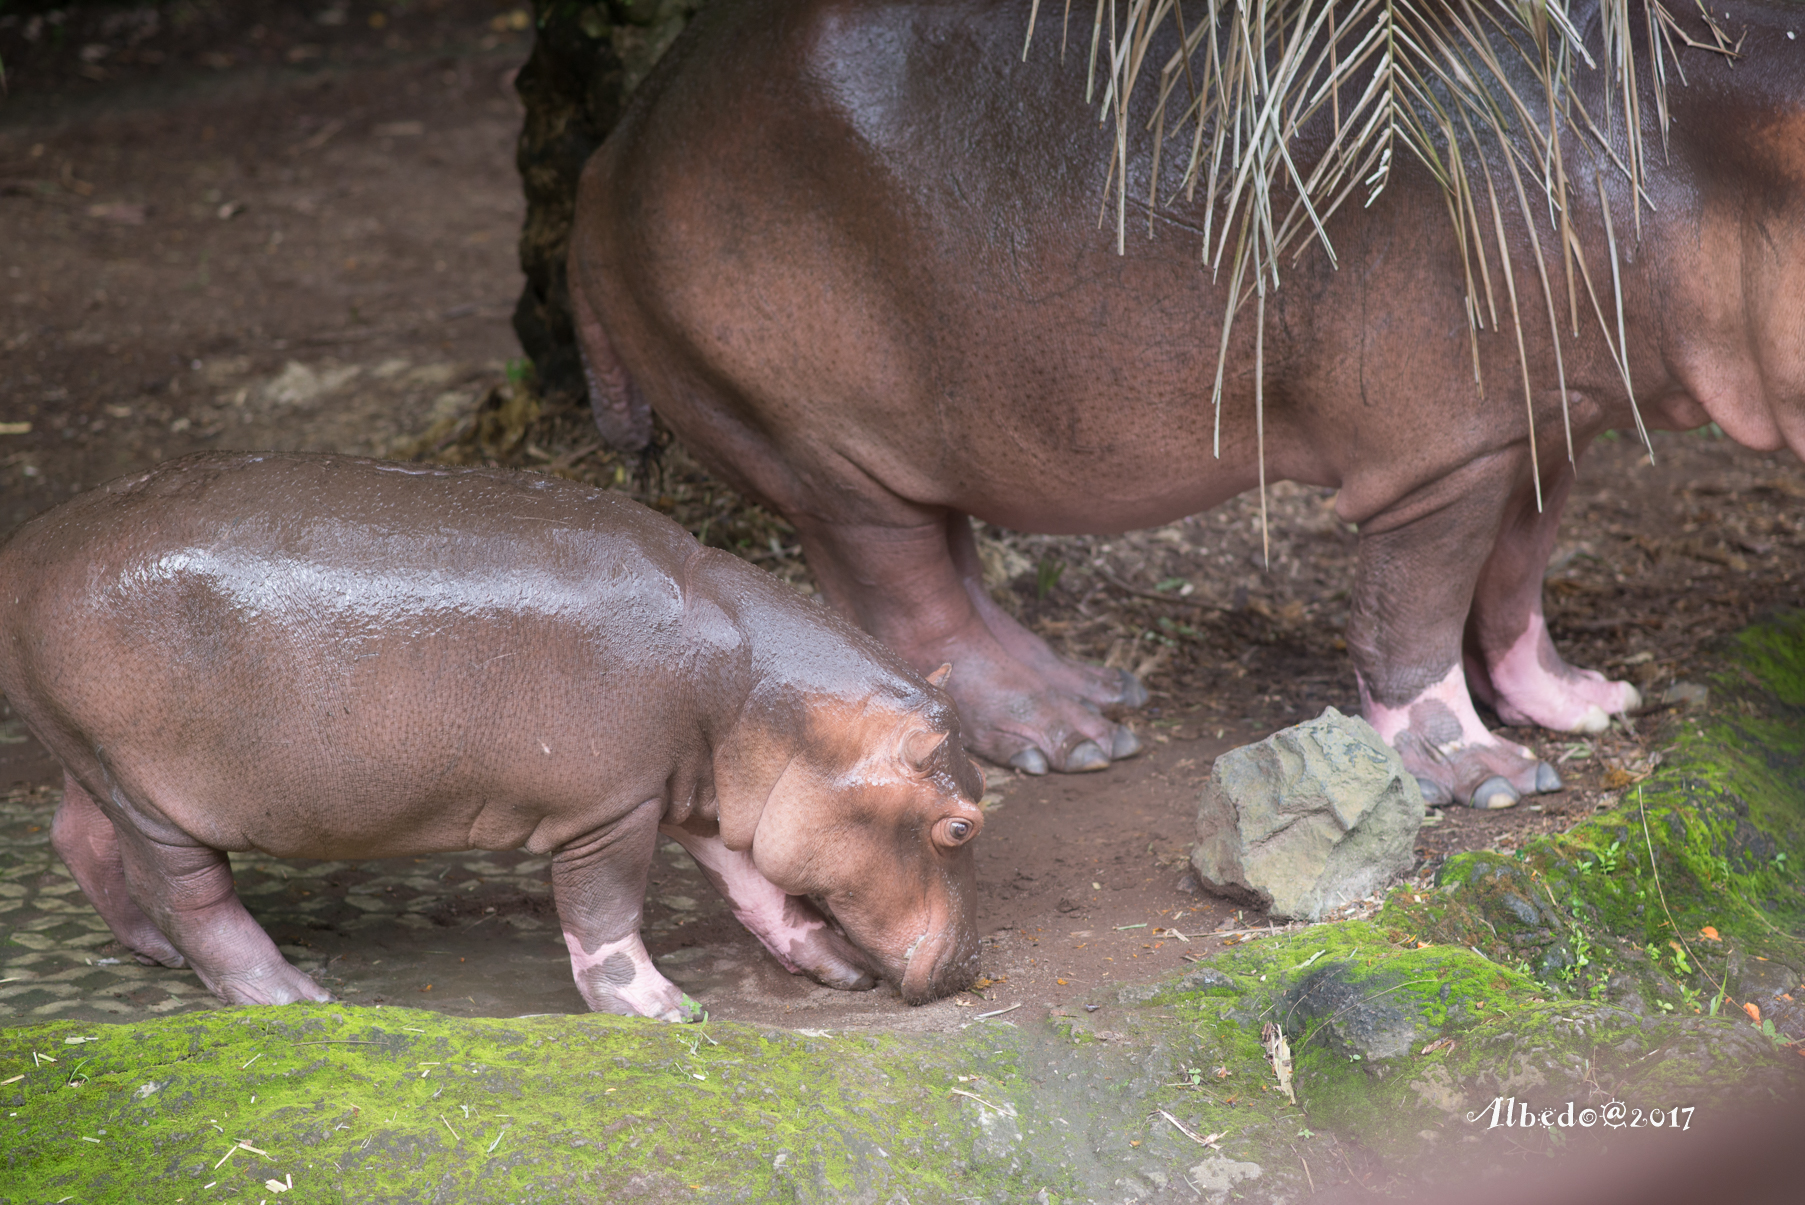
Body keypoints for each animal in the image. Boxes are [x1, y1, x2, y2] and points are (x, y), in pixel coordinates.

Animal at [0, 450, 989, 1017]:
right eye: (961, 825)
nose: (965, 969)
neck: (754, 680)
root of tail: (21, 547)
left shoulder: (701, 794)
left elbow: (760, 888)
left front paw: (832, 964)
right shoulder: (612, 809)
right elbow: (605, 912)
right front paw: (664, 1011)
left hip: (88, 760)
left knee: (78, 836)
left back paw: (157, 953)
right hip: (150, 792)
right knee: (188, 894)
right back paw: (295, 995)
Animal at [566, 2, 1805, 808]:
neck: (1703, 139)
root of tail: (611, 143)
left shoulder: (1549, 418)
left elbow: (1513, 574)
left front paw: (1581, 701)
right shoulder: (1444, 449)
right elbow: (1412, 611)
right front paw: (1479, 775)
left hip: (911, 436)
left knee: (951, 561)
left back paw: (1095, 694)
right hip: (818, 446)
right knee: (906, 593)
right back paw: (1065, 743)